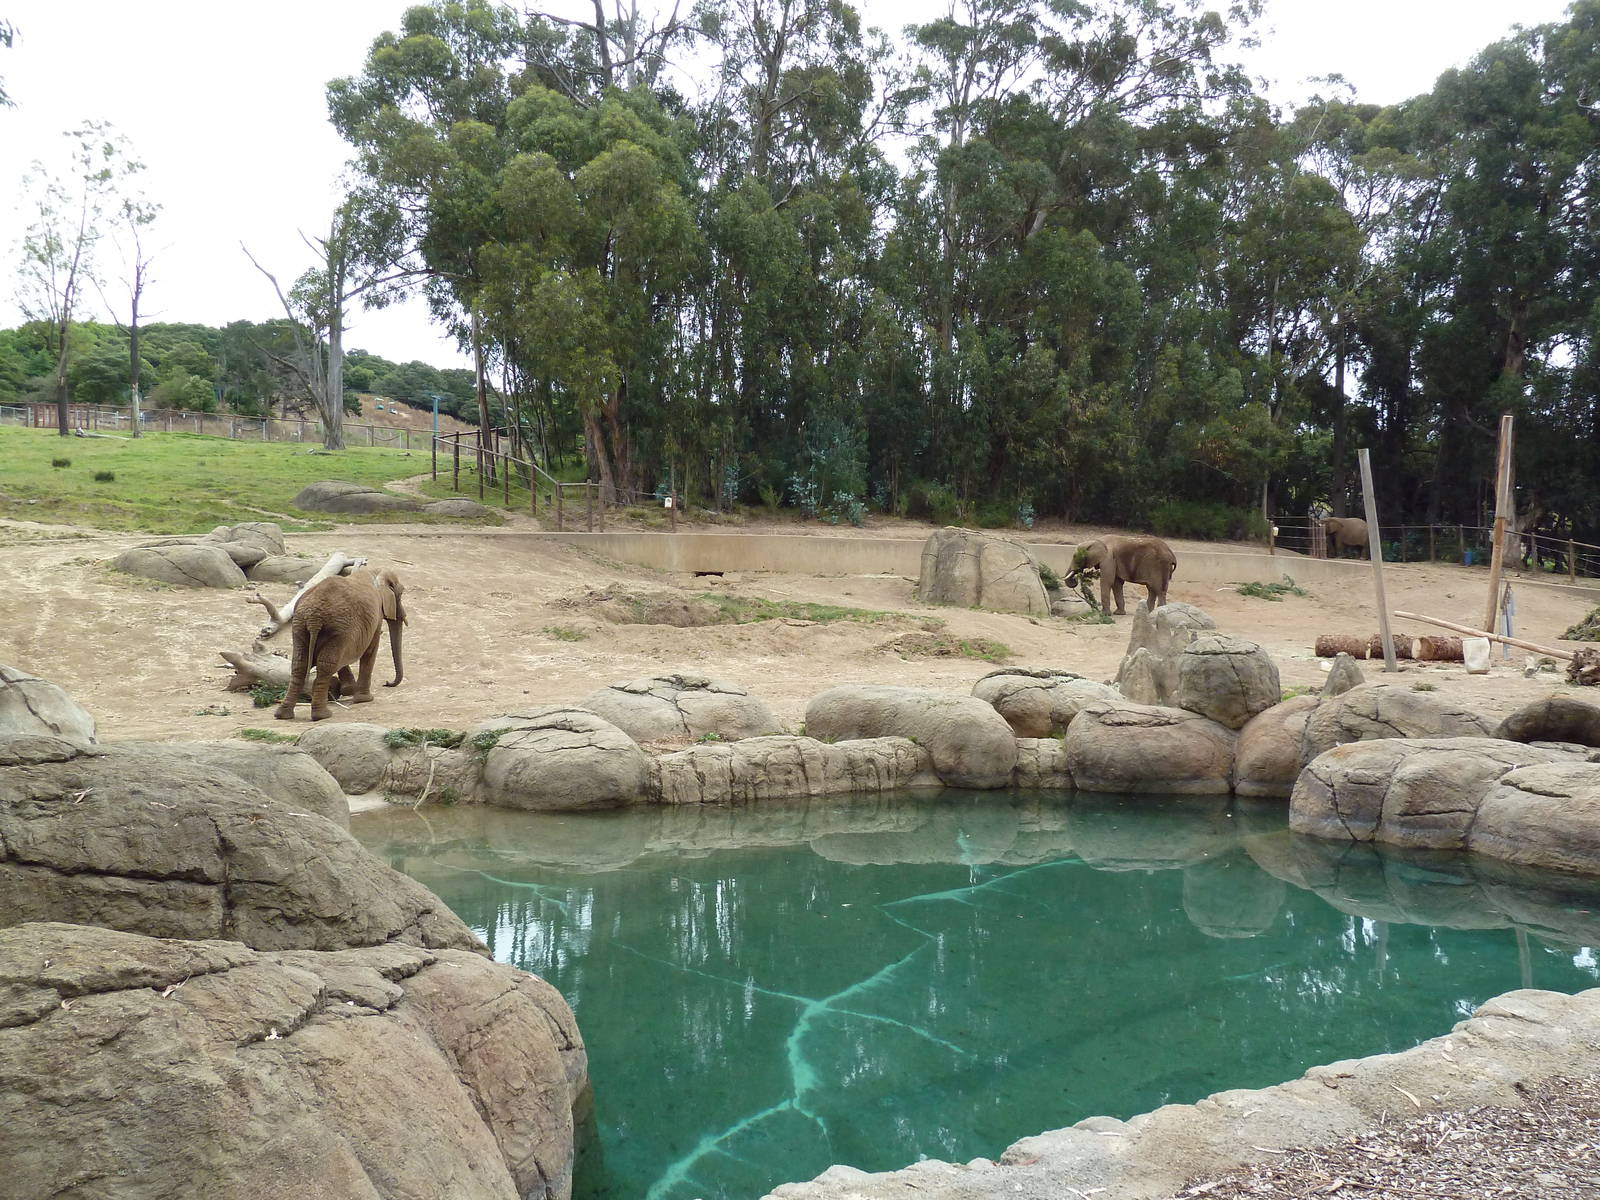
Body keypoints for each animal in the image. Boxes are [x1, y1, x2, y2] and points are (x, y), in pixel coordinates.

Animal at [274, 569, 406, 722]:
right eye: (401, 593)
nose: (387, 683)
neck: (376, 571)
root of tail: (314, 618)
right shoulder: (376, 615)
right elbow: (370, 650)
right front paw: (365, 699)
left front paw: (349, 691)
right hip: (336, 628)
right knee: (326, 665)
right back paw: (322, 715)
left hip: (300, 626)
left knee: (300, 664)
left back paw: (283, 715)